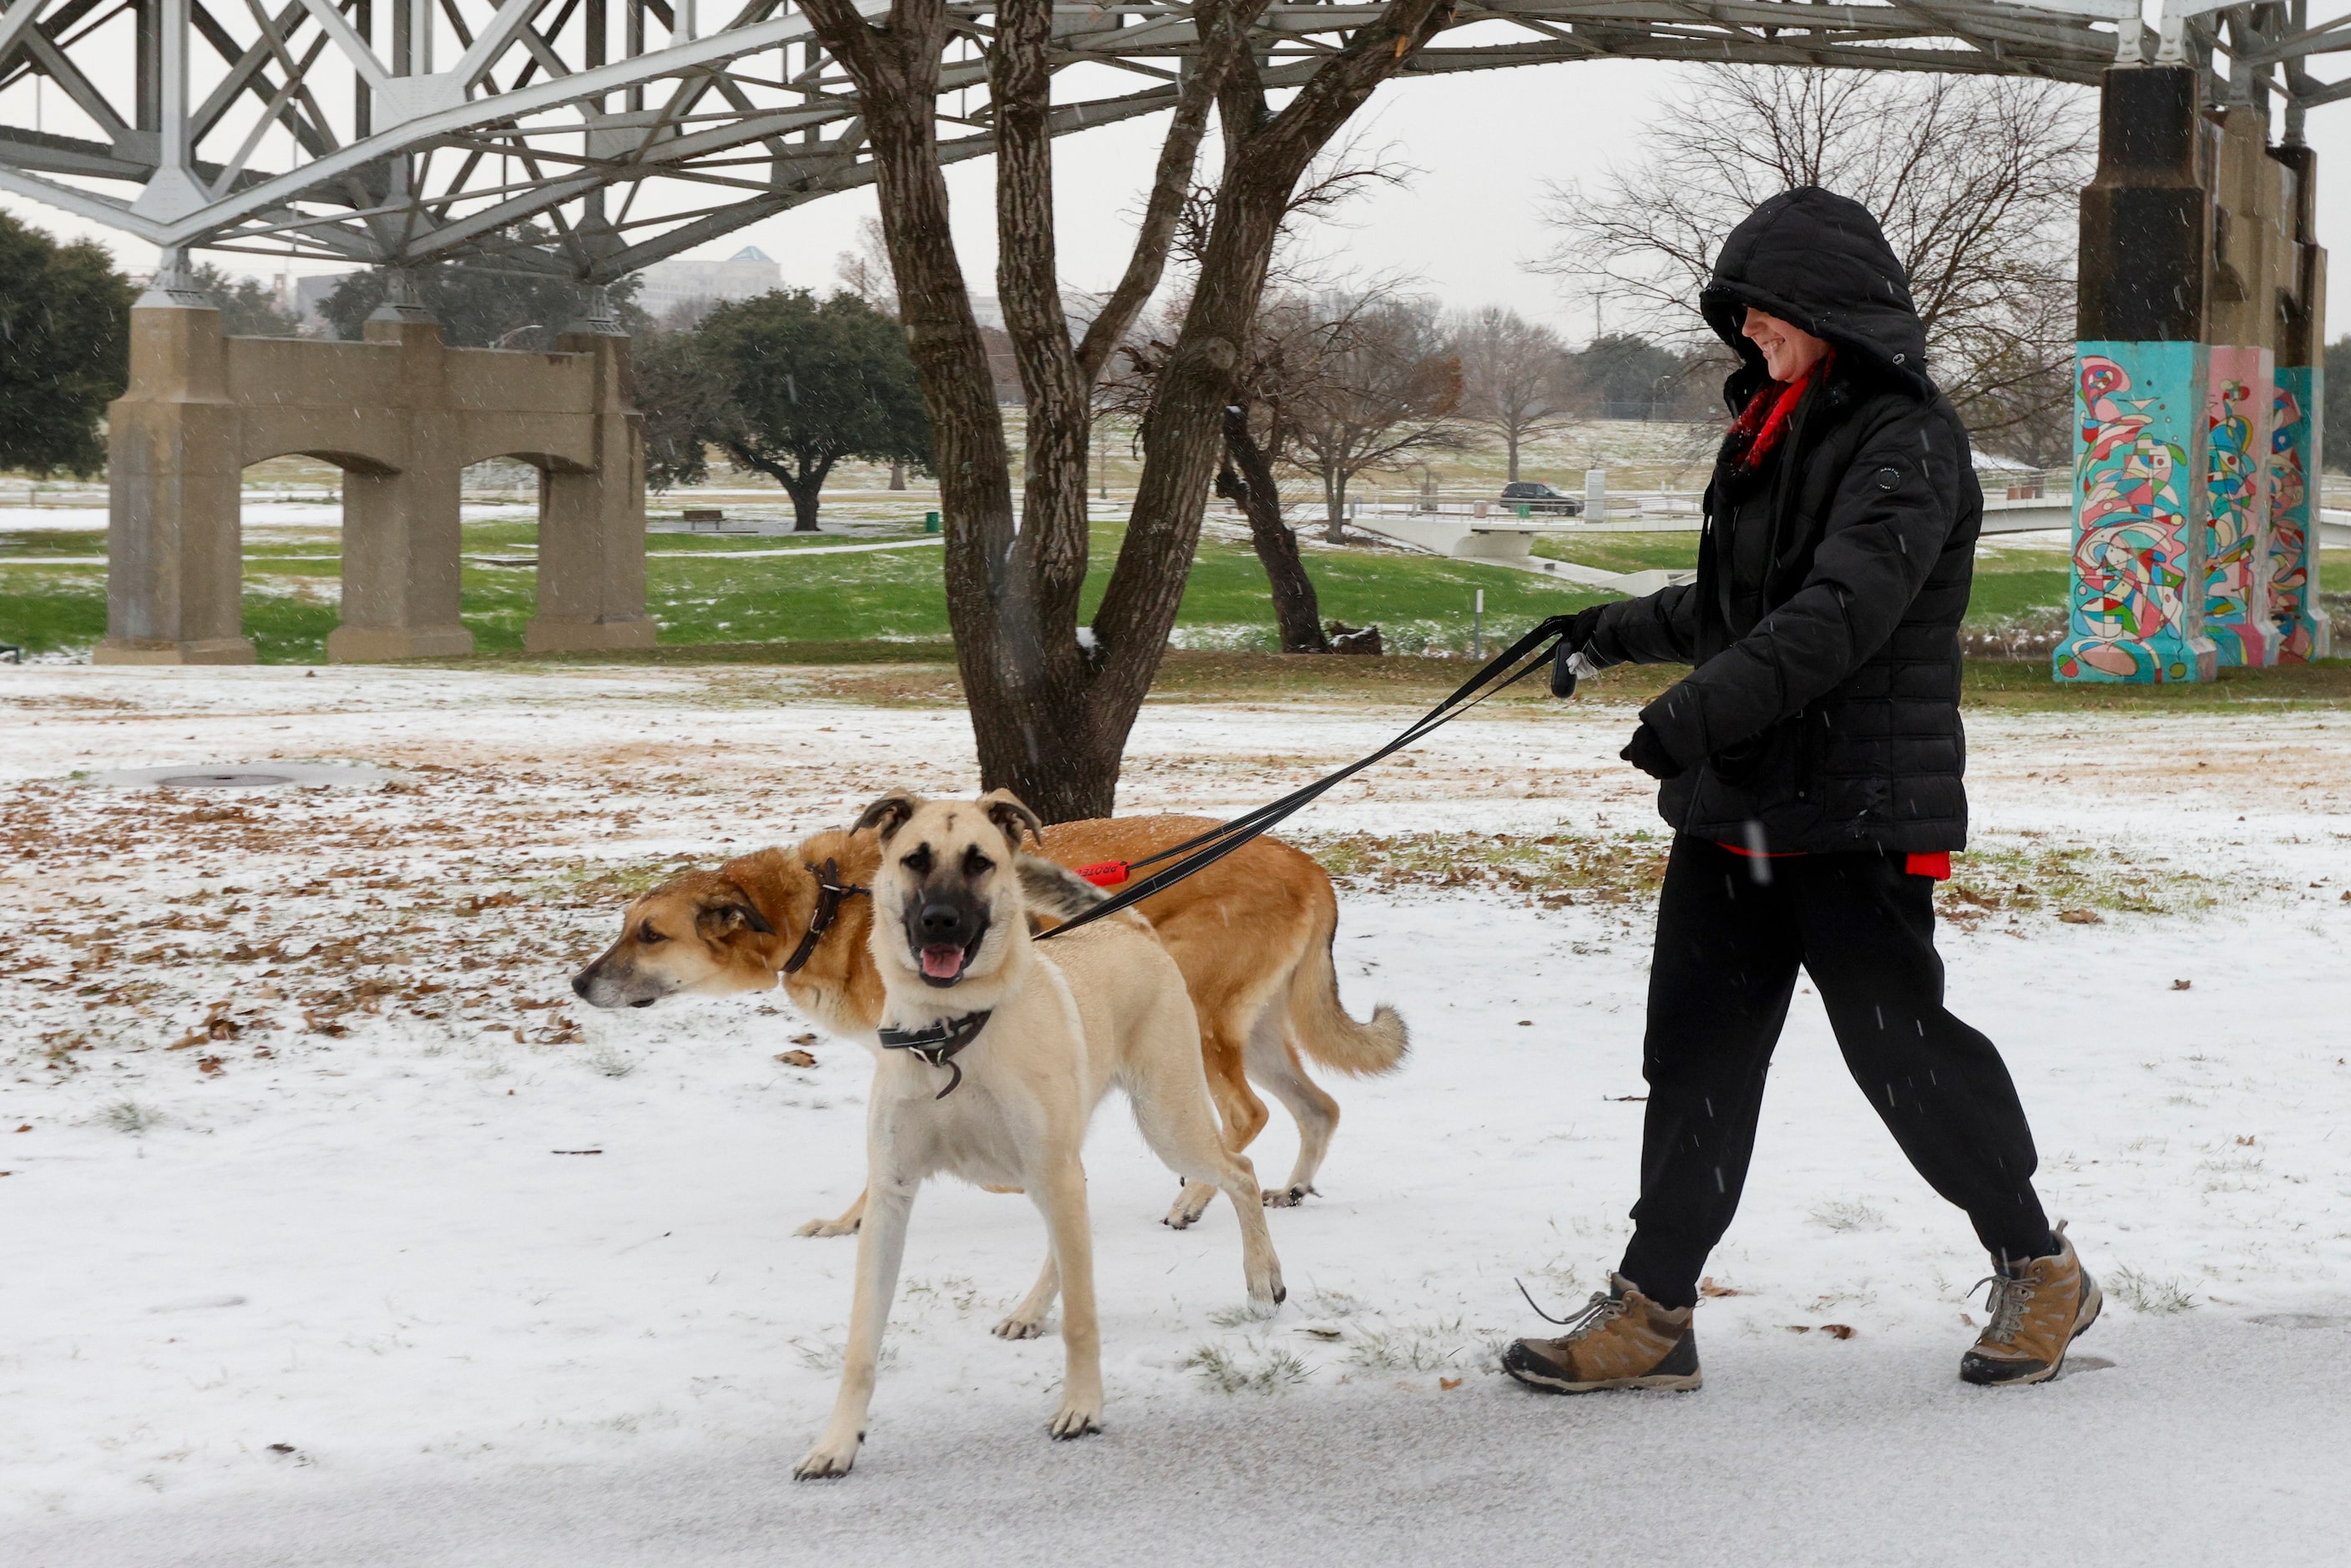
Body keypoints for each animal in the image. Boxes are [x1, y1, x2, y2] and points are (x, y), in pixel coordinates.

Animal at [575, 817, 1401, 1232]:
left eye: (650, 935)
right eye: (627, 928)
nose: (578, 983)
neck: (824, 905)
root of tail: (1307, 865)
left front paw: (853, 1221)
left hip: (1194, 1025)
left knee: (1249, 1115)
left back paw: (1195, 1198)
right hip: (1250, 1032)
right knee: (1318, 1106)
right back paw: (1292, 1187)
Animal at [785, 790, 1288, 1476]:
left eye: (980, 862)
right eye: (915, 859)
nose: (941, 922)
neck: (950, 1037)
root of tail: (1129, 928)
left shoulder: (1051, 1168)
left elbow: (1083, 1318)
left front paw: (1082, 1407)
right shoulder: (892, 1195)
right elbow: (862, 1342)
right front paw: (837, 1443)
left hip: (1164, 1120)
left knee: (1240, 1173)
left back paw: (1262, 1275)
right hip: (1051, 1167)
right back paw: (1030, 1310)